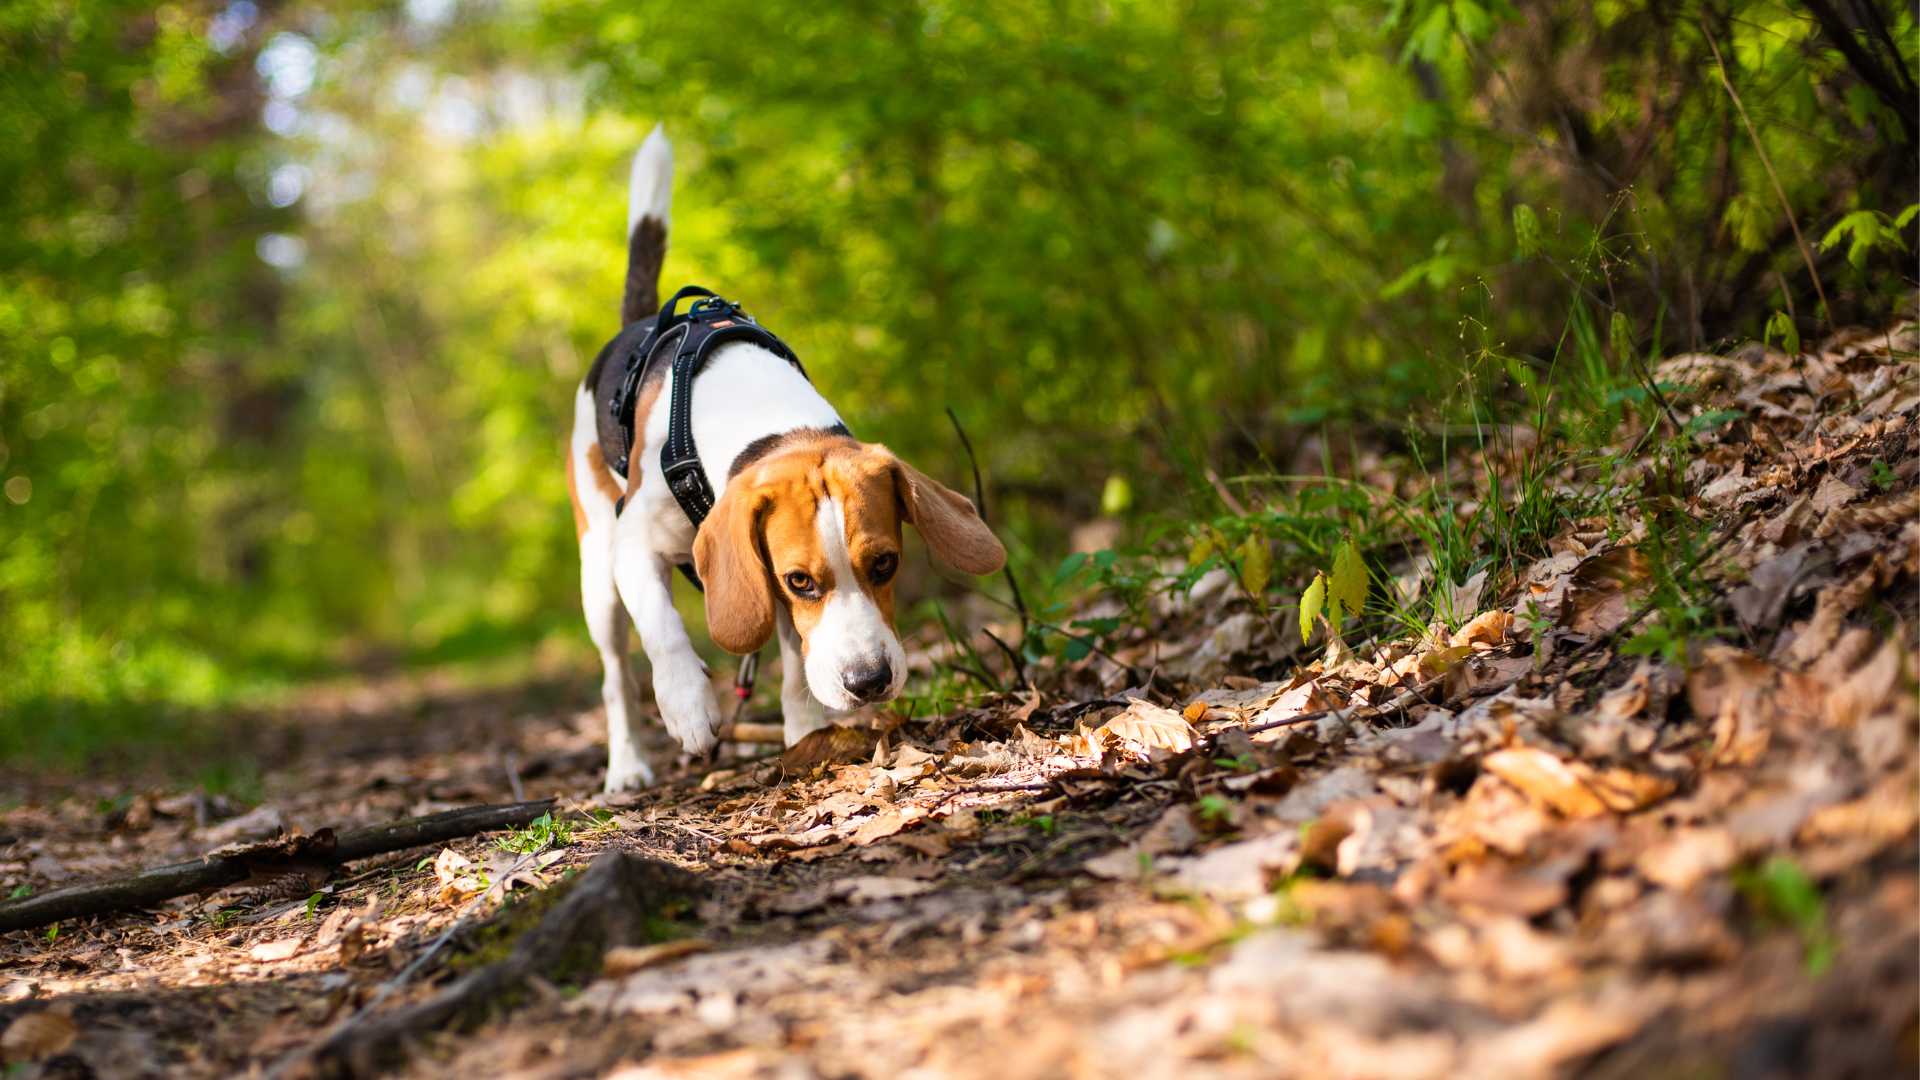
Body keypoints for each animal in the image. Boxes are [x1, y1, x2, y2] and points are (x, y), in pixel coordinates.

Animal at [564, 127, 1006, 791]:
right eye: (802, 580)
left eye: (886, 563)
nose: (869, 683)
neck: (770, 421)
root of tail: (637, 324)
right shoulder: (637, 541)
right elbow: (663, 627)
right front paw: (688, 704)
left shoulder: (763, 579)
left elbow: (797, 665)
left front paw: (805, 736)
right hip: (598, 572)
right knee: (616, 672)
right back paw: (628, 765)